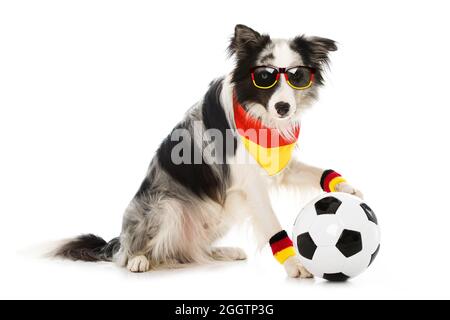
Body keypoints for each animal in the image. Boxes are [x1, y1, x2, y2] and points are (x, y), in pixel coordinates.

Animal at [55, 24, 362, 278]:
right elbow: (273, 225)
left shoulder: (277, 168)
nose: (283, 107)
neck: (258, 116)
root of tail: (118, 241)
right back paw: (138, 260)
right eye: (265, 76)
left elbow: (315, 171)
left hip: (220, 211)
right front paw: (295, 264)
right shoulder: (251, 185)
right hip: (167, 206)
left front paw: (346, 187)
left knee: (186, 252)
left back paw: (222, 251)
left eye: (298, 76)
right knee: (141, 250)